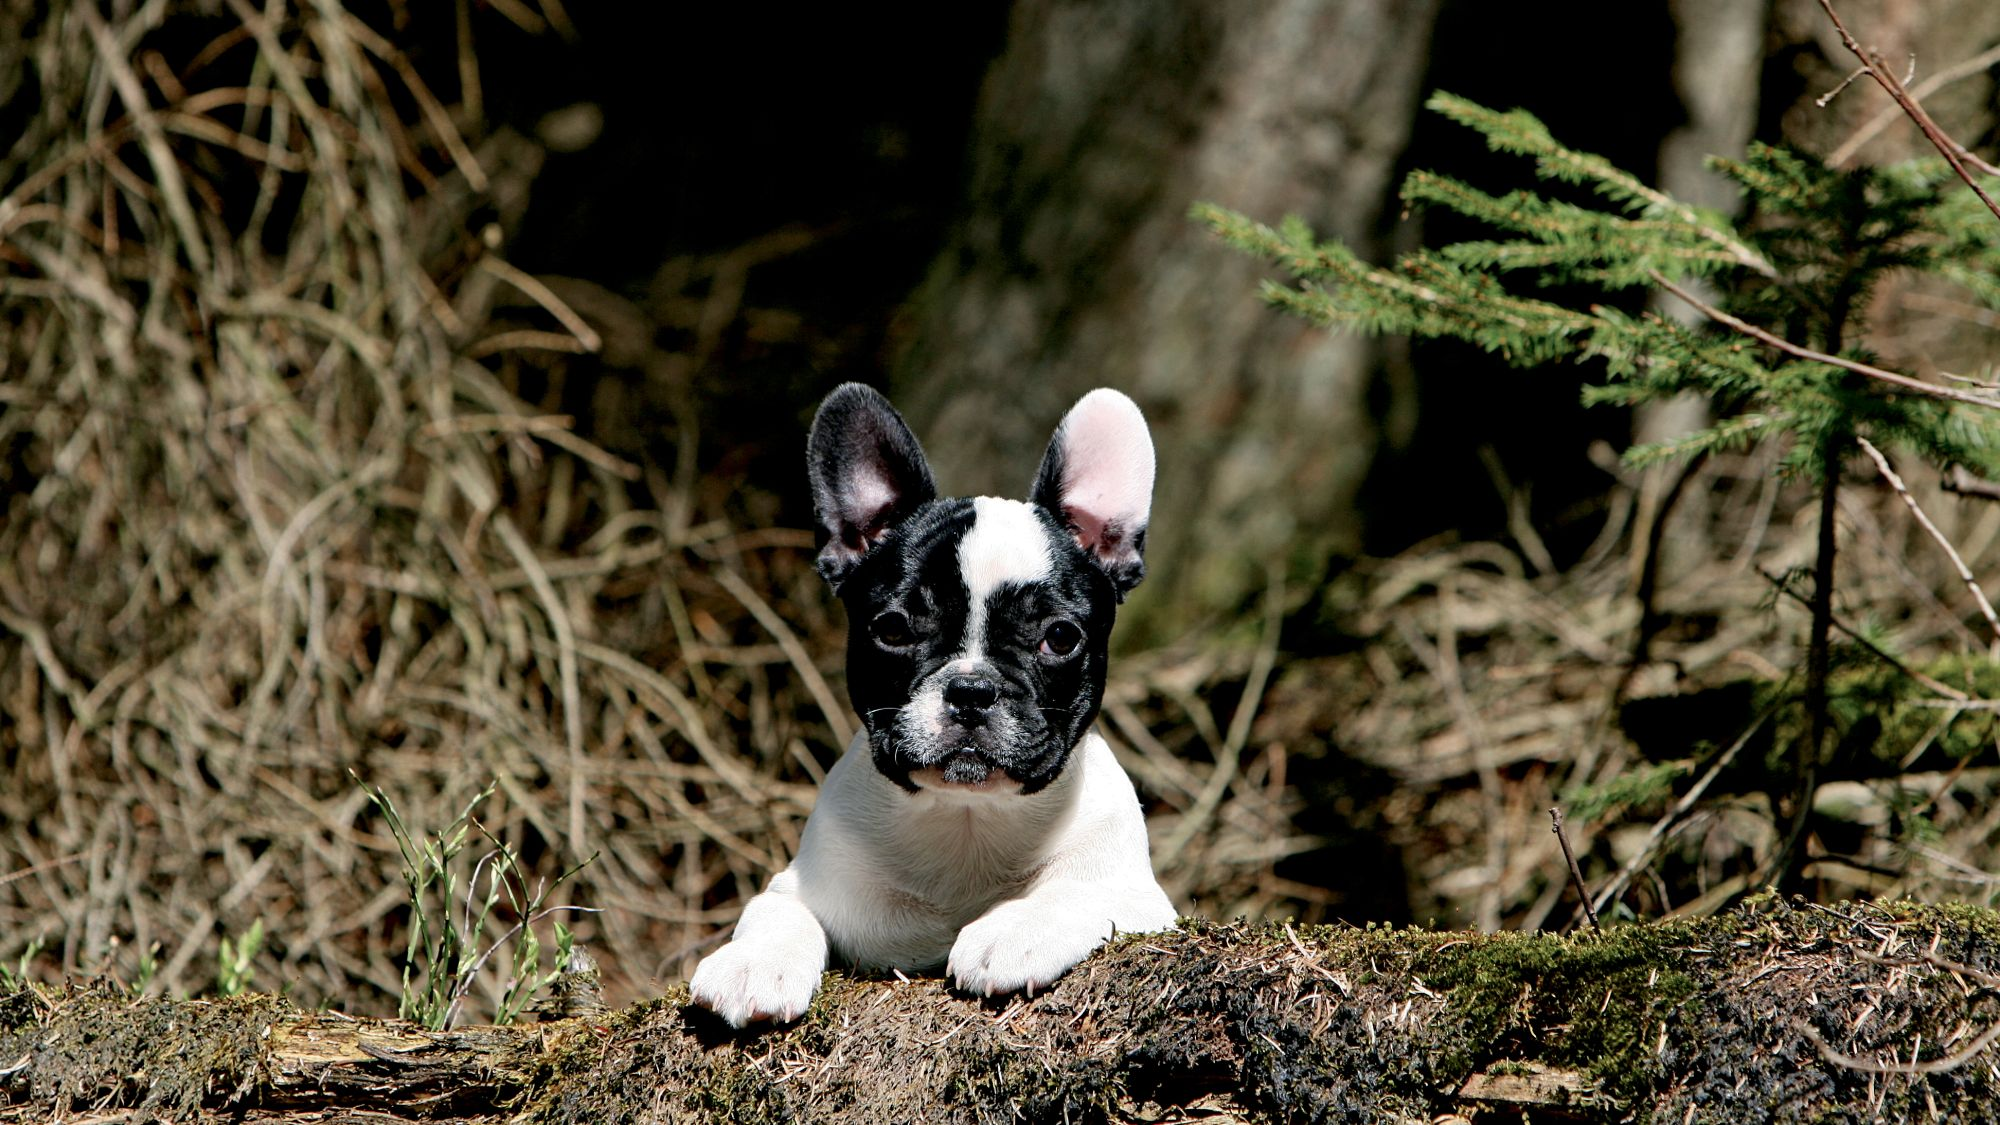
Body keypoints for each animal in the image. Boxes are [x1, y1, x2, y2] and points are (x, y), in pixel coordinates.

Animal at [696, 378, 1176, 1024]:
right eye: (894, 630)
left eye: (1060, 637)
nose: (971, 689)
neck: (966, 817)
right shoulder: (801, 883)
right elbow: (777, 912)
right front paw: (753, 963)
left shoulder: (1140, 899)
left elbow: (1077, 893)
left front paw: (1014, 929)